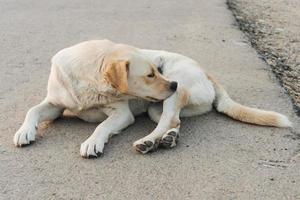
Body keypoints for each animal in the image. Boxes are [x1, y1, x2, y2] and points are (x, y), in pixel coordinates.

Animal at [12, 39, 292, 158]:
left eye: (158, 68)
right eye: (150, 74)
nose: (172, 83)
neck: (87, 78)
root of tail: (204, 70)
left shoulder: (121, 113)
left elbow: (102, 126)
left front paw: (93, 142)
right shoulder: (55, 105)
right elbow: (32, 110)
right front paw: (24, 132)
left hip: (173, 95)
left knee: (168, 120)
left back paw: (147, 142)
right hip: (156, 108)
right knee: (174, 122)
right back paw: (167, 139)